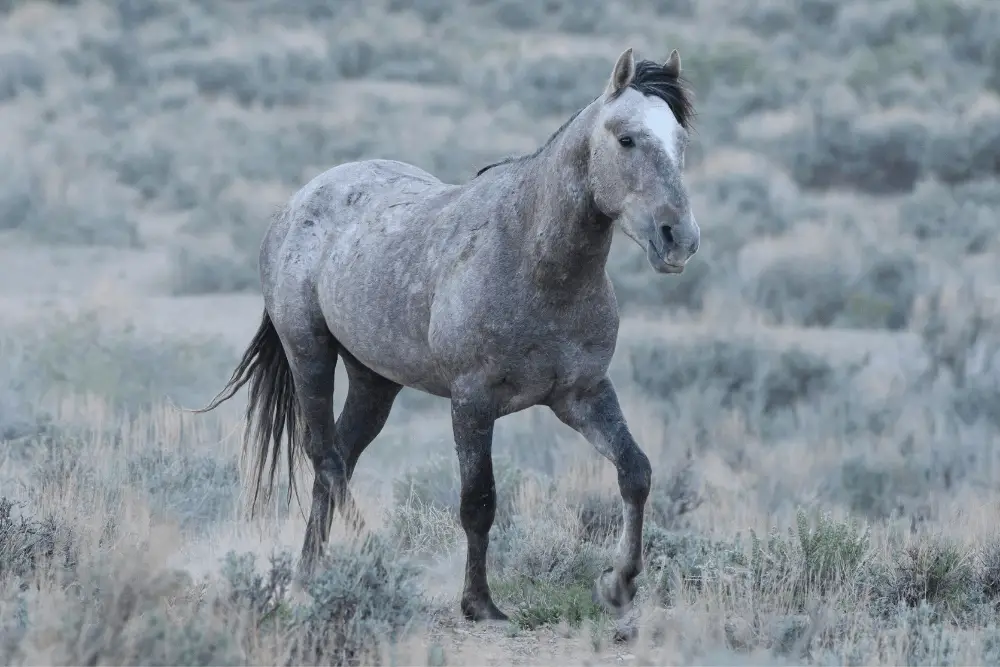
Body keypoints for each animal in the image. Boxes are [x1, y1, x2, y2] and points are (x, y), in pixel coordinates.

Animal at [199, 48, 700, 628]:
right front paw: (479, 602)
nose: (679, 239)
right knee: (325, 455)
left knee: (341, 455)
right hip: (310, 354)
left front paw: (618, 584)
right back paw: (371, 556)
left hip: (374, 381)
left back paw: (310, 574)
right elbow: (478, 502)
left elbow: (635, 471)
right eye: (626, 139)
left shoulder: (583, 395)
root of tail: (298, 202)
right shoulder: (472, 401)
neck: (535, 262)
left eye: (680, 140)